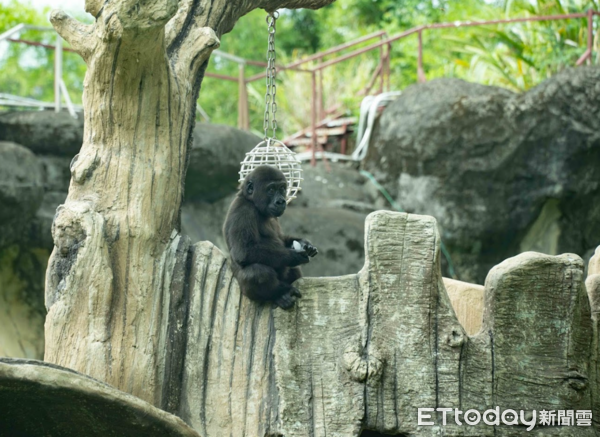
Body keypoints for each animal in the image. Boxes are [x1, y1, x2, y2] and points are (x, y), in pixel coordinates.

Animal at [224, 165, 318, 308]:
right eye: (271, 190)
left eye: (282, 189)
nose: (281, 201)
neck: (251, 201)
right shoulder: (243, 211)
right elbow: (244, 251)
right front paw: (294, 256)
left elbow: (282, 239)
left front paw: (304, 243)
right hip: (244, 291)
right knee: (256, 273)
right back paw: (280, 294)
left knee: (293, 271)